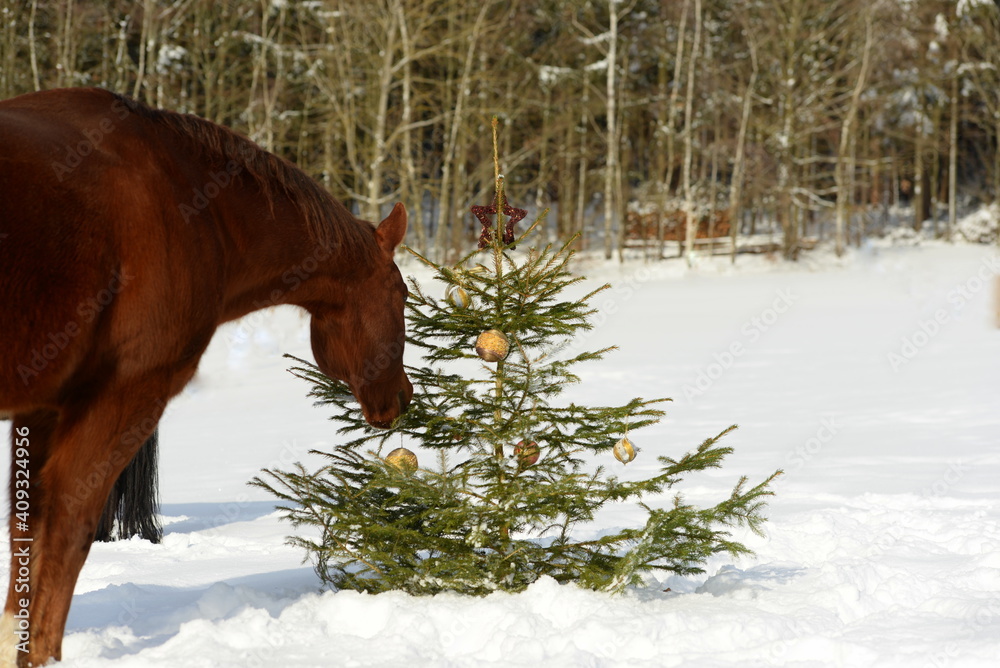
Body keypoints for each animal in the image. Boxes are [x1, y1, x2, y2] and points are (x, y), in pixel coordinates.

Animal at [0, 87, 413, 666]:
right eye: (403, 295)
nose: (401, 397)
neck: (197, 209)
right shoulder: (124, 392)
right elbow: (67, 533)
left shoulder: (42, 405)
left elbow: (24, 533)